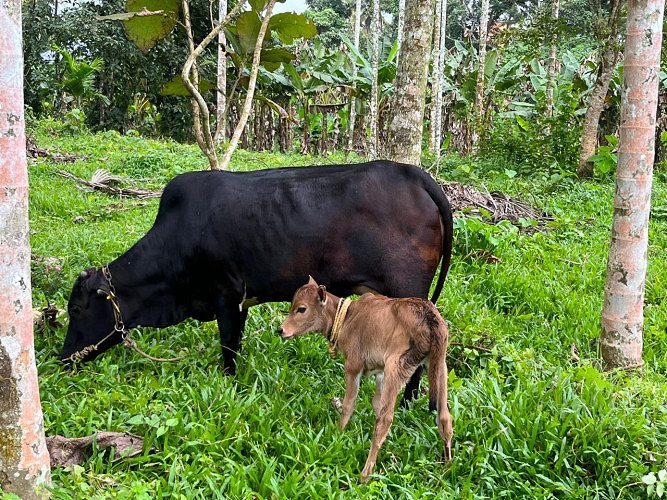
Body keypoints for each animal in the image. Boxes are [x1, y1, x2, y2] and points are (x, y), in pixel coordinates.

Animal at [60, 160, 453, 404]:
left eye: (77, 309)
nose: (63, 360)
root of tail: (415, 175)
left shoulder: (226, 295)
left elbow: (229, 346)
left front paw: (230, 383)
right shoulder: (240, 301)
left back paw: (405, 402)